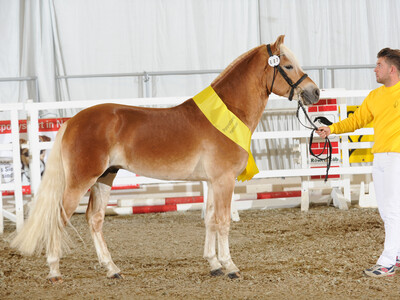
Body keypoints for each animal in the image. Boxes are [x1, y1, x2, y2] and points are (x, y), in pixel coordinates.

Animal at [10, 35, 320, 282]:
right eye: (288, 66)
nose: (314, 92)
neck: (229, 112)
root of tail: (73, 121)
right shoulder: (224, 180)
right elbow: (222, 221)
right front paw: (230, 266)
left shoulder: (212, 181)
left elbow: (209, 219)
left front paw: (214, 264)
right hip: (80, 180)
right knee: (60, 216)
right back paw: (54, 270)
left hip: (104, 178)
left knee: (94, 219)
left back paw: (112, 269)